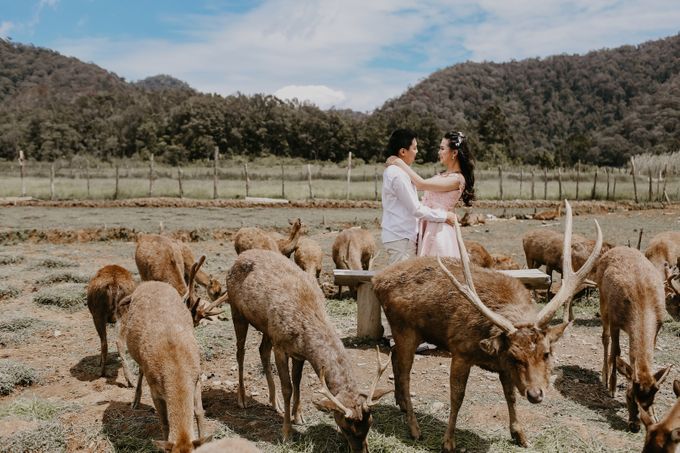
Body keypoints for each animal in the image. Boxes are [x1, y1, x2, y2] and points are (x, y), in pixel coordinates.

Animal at [115, 260, 230, 450]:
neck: (176, 366)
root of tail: (146, 284)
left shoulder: (196, 377)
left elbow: (199, 412)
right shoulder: (155, 389)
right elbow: (165, 422)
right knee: (140, 369)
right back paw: (135, 401)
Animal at [226, 249, 390, 450]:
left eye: (370, 423)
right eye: (345, 426)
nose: (363, 451)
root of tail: (238, 258)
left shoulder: (298, 354)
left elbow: (297, 382)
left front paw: (299, 416)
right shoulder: (280, 347)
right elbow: (287, 387)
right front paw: (287, 433)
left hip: (266, 328)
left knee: (262, 350)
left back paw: (274, 402)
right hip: (236, 310)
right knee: (240, 352)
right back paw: (242, 399)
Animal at [372, 201, 600, 452]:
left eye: (547, 353)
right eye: (515, 356)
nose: (535, 394)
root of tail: (376, 280)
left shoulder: (503, 368)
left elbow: (510, 395)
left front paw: (520, 435)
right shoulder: (460, 350)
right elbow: (457, 397)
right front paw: (448, 441)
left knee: (393, 355)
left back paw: (401, 404)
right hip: (406, 328)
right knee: (404, 373)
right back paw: (414, 428)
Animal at [596, 245, 672, 430]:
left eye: (653, 399)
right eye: (629, 395)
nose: (635, 426)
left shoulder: (659, 325)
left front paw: (656, 416)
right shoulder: (616, 320)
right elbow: (616, 351)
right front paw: (612, 388)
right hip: (602, 300)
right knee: (605, 339)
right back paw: (604, 378)